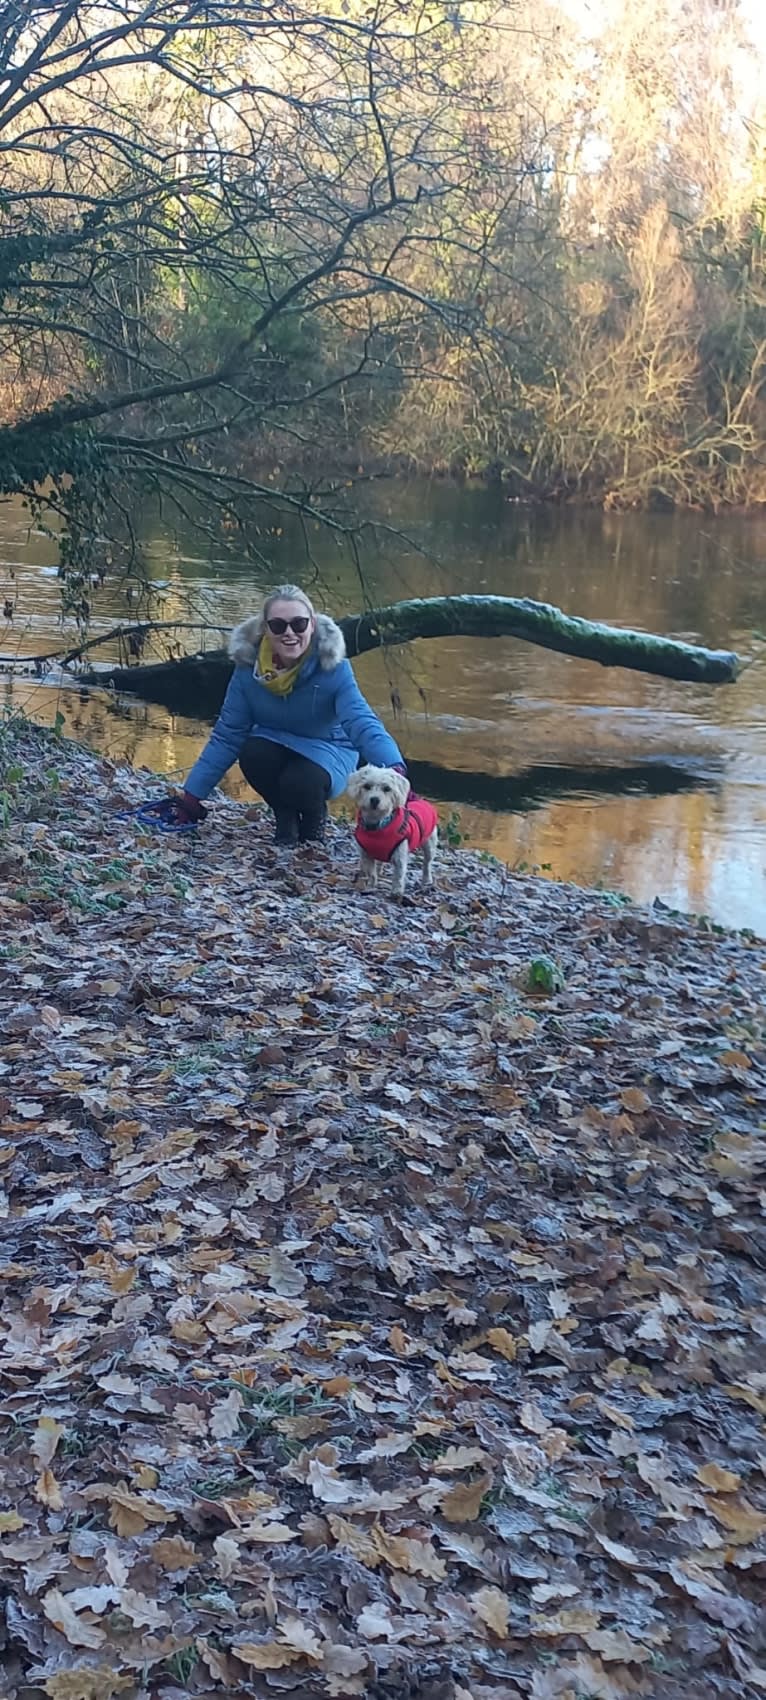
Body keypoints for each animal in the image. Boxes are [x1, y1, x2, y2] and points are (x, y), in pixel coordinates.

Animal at [346, 768, 438, 904]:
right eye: (367, 786)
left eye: (387, 788)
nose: (374, 799)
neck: (378, 829)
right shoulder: (366, 854)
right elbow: (371, 872)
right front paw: (371, 886)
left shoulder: (400, 855)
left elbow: (398, 875)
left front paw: (396, 893)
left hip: (429, 843)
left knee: (427, 863)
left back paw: (427, 880)